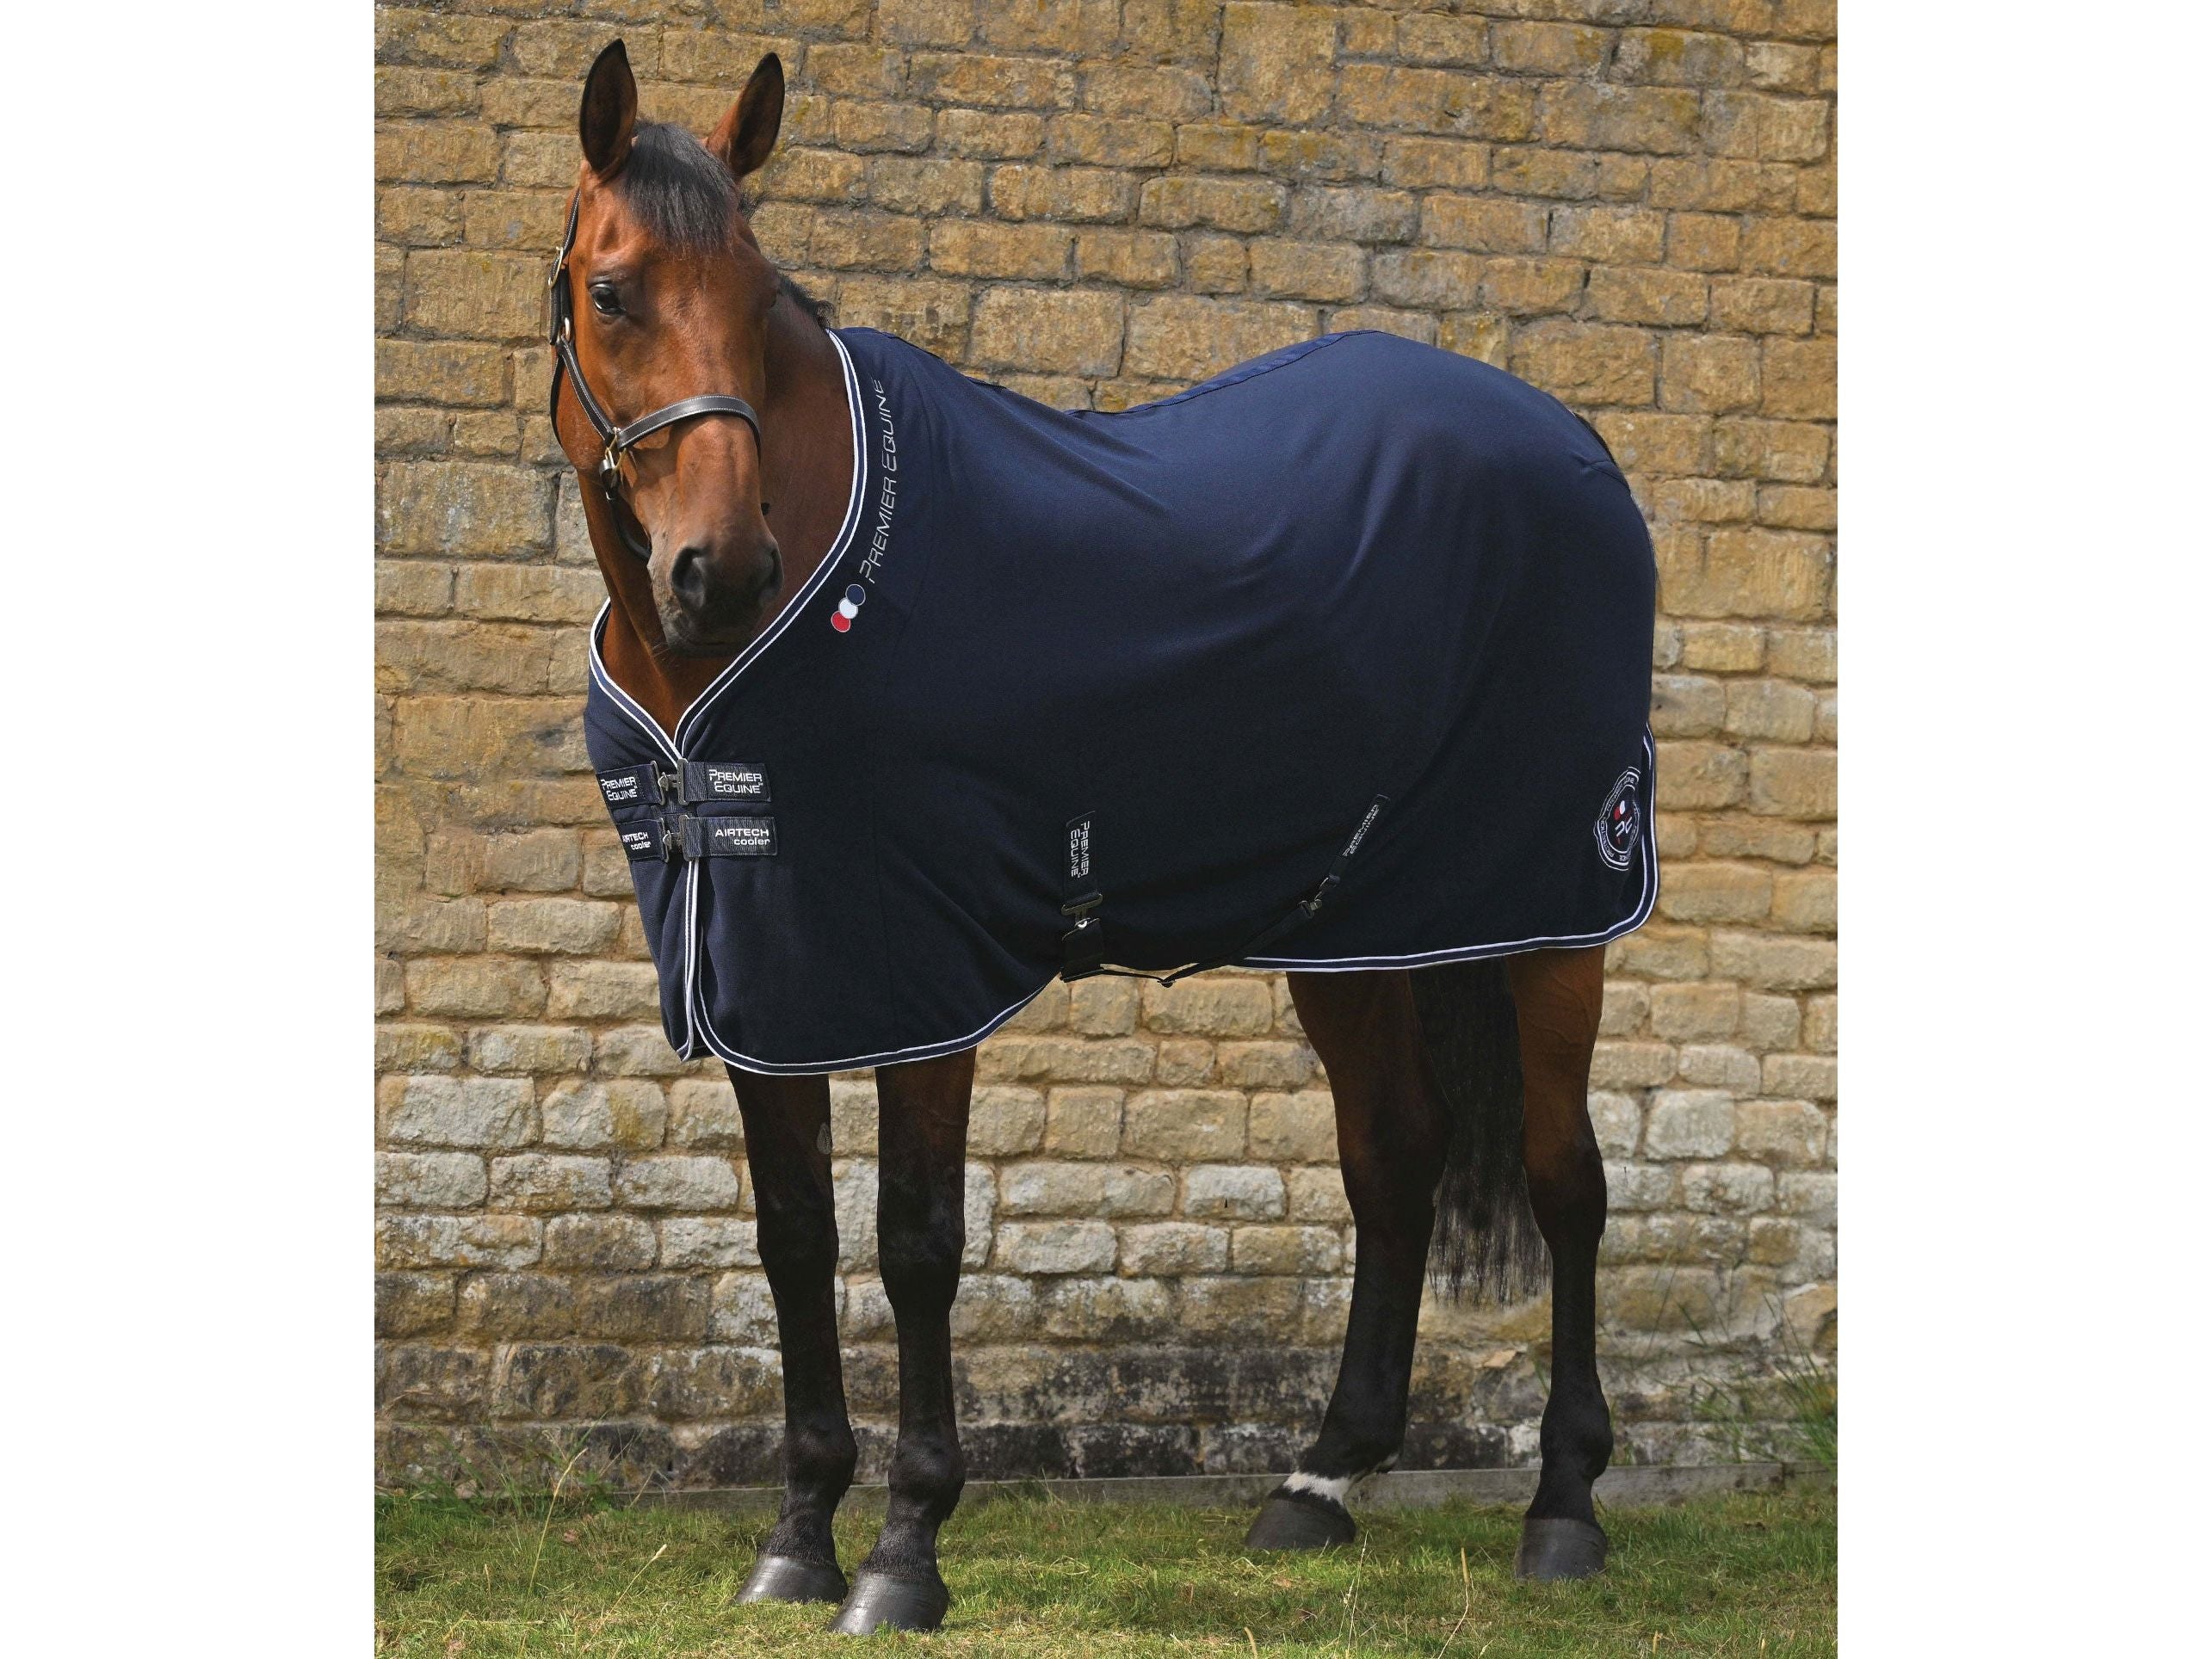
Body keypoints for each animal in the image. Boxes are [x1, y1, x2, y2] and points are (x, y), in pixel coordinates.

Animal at [548, 41, 1651, 1636]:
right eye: (612, 290)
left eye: (760, 298)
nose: (721, 570)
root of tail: (1571, 443)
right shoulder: (766, 973)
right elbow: (794, 1236)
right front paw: (796, 1538)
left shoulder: (918, 972)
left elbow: (918, 1243)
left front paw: (904, 1552)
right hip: (1357, 926)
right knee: (1395, 1155)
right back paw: (1318, 1480)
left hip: (1561, 905)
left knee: (1567, 1179)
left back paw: (1563, 1508)